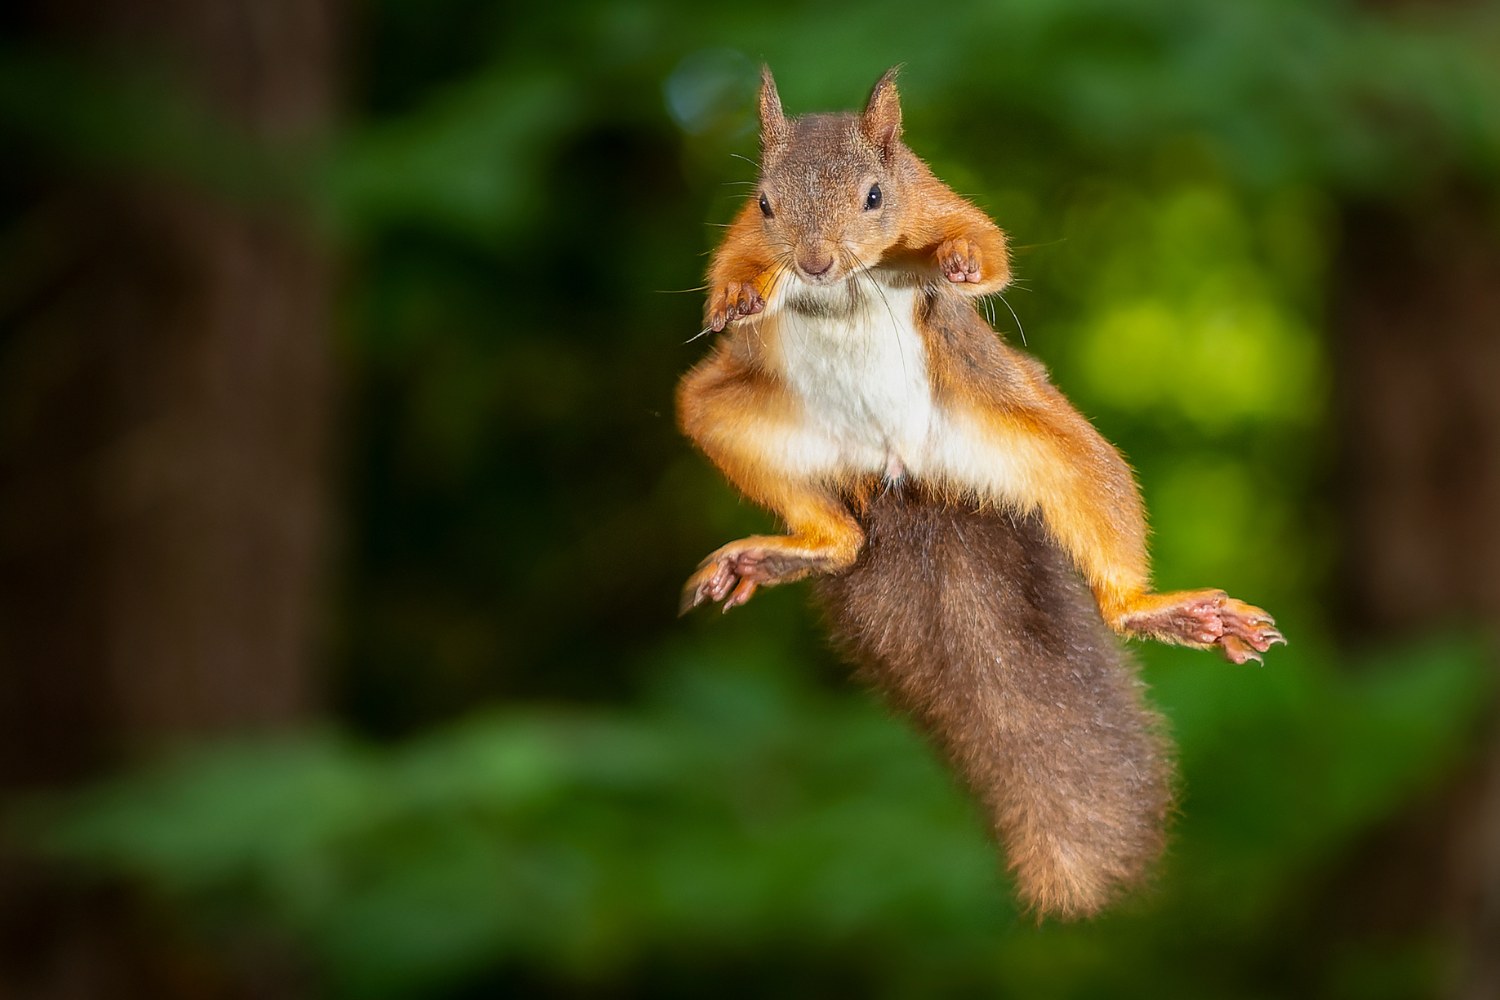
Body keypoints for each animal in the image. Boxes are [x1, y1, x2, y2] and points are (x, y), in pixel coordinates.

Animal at [675, 66, 1285, 919]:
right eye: (766, 202)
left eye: (875, 194)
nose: (817, 262)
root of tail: (901, 473)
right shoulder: (742, 234)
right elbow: (729, 264)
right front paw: (737, 296)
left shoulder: (932, 199)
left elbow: (985, 241)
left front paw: (962, 262)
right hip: (722, 415)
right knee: (839, 535)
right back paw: (792, 550)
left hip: (1040, 438)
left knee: (1089, 497)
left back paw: (1155, 608)